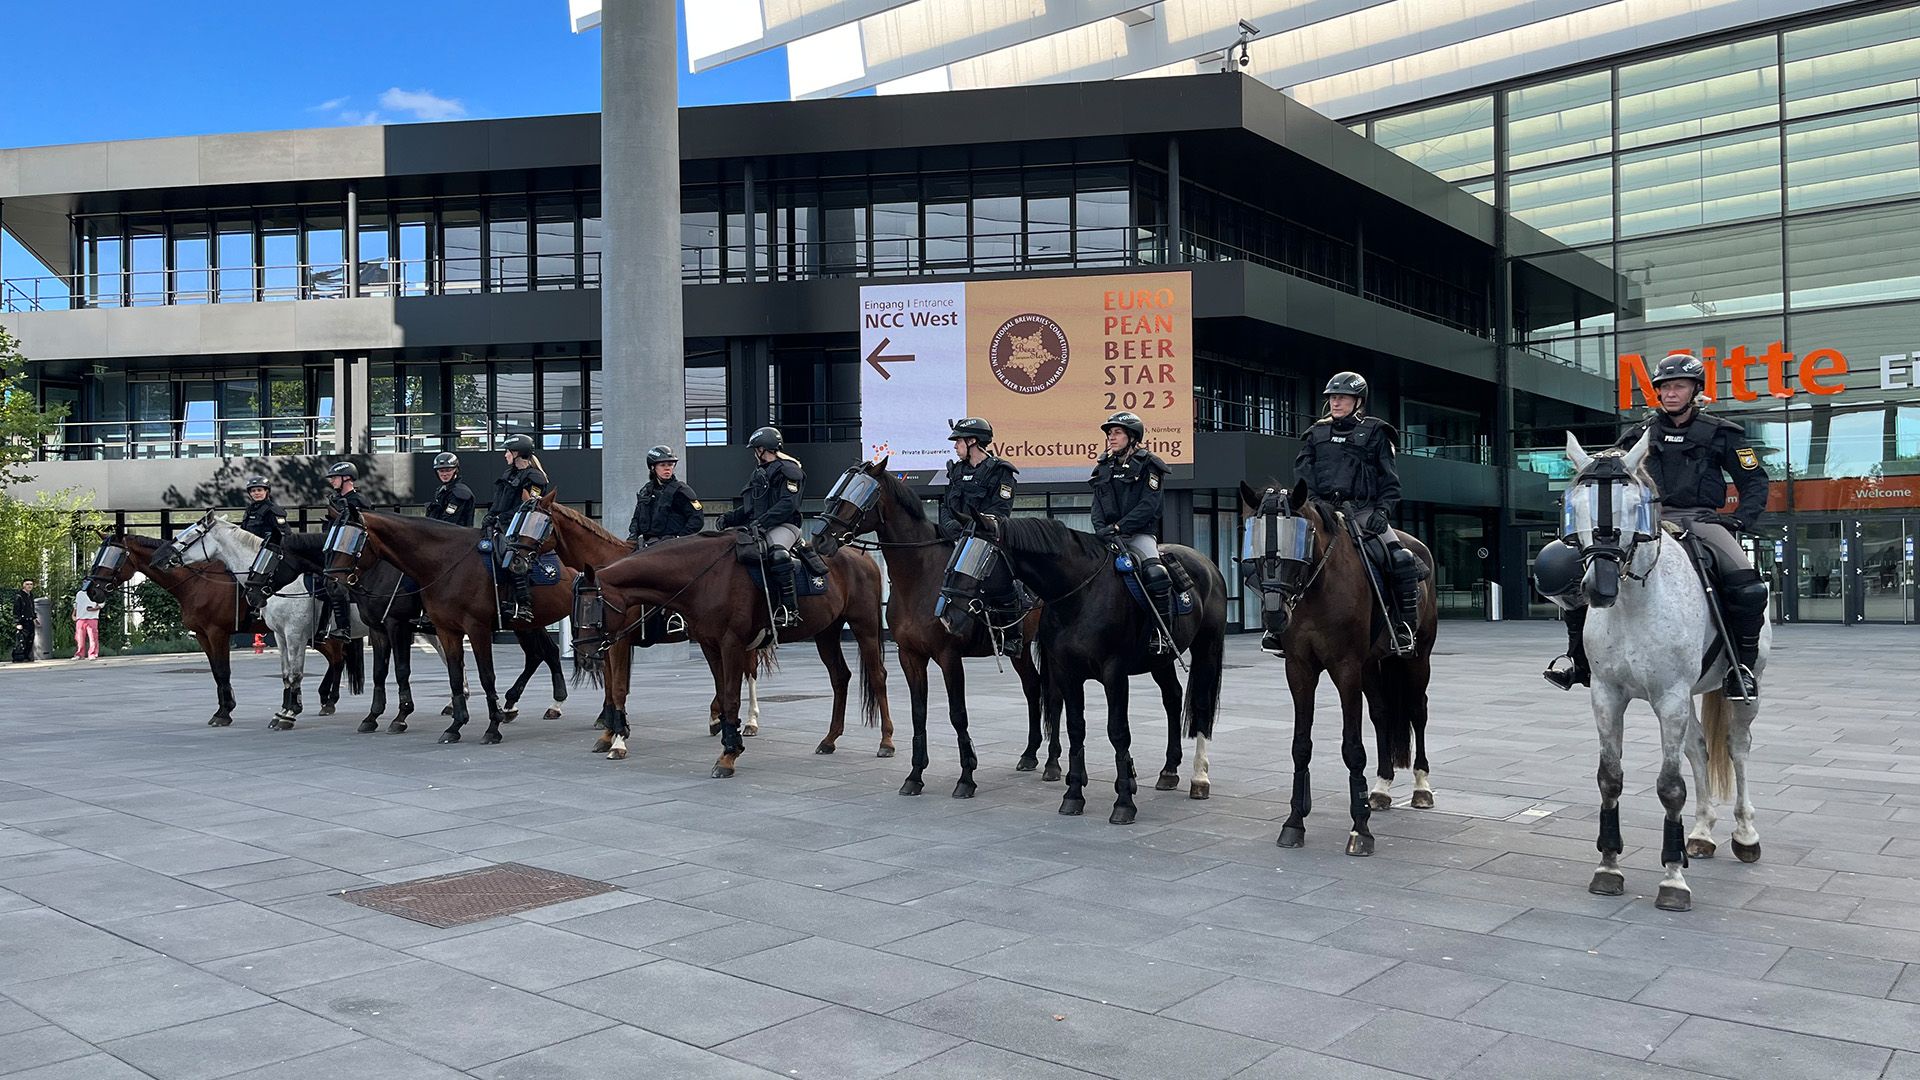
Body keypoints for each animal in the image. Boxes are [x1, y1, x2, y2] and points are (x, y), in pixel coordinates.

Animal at [80, 530, 359, 722]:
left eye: (114, 556)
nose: (92, 590)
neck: (197, 581)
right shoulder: (202, 635)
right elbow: (216, 672)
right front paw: (224, 707)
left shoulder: (218, 633)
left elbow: (224, 671)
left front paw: (224, 713)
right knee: (336, 658)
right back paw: (325, 698)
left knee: (337, 657)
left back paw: (329, 700)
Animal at [572, 522, 894, 768]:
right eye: (576, 609)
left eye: (593, 608)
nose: (585, 655)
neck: (703, 575)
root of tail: (861, 555)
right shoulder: (710, 644)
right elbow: (723, 692)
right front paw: (729, 741)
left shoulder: (730, 643)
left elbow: (729, 695)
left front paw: (728, 755)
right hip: (826, 633)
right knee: (839, 678)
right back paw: (829, 740)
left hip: (864, 627)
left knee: (878, 677)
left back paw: (886, 740)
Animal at [990, 518, 1228, 818]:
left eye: (983, 555)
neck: (1079, 594)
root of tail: (1207, 563)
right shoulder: (1067, 672)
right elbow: (1075, 727)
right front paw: (1073, 795)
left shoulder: (1114, 673)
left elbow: (1117, 731)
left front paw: (1124, 801)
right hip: (1160, 661)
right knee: (1172, 698)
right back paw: (1169, 771)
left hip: (1206, 647)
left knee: (1201, 705)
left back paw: (1199, 778)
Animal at [1244, 484, 1443, 853]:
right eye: (1254, 541)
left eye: (1298, 541)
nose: (1275, 615)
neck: (1317, 587)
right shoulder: (1299, 669)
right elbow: (1301, 745)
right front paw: (1294, 822)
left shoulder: (1346, 668)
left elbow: (1352, 747)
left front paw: (1360, 829)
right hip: (1372, 665)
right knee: (1381, 713)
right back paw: (1380, 788)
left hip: (1417, 657)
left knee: (1416, 710)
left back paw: (1421, 787)